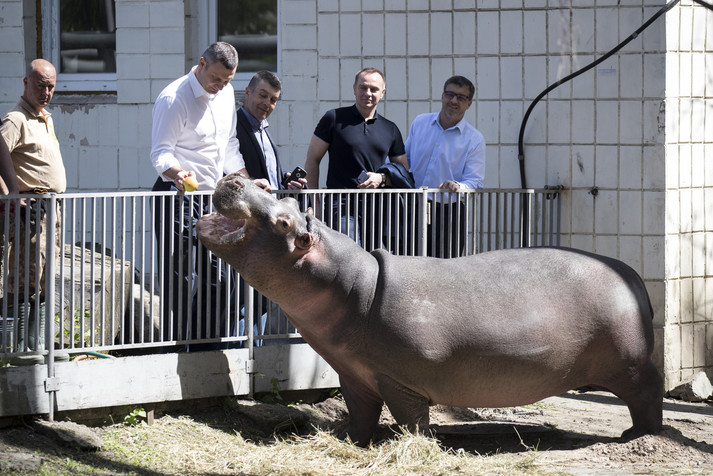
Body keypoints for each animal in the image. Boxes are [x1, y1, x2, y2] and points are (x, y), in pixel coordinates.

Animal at [197, 173, 663, 446]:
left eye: (283, 222)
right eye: (293, 206)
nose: (238, 177)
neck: (351, 285)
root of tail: (632, 274)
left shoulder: (401, 380)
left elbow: (411, 421)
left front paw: (417, 447)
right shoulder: (355, 374)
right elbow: (361, 414)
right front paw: (349, 439)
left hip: (630, 365)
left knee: (648, 393)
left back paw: (638, 436)